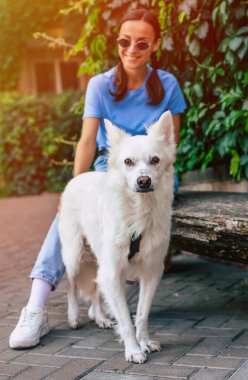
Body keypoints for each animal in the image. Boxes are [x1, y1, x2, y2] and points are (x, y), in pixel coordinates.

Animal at [58, 109, 176, 362]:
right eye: (128, 162)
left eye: (155, 160)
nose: (144, 181)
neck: (139, 212)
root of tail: (78, 177)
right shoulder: (113, 272)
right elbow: (125, 320)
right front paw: (133, 350)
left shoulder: (151, 271)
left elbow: (141, 315)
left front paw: (144, 342)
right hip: (74, 254)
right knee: (71, 285)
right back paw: (73, 317)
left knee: (95, 288)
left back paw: (101, 317)